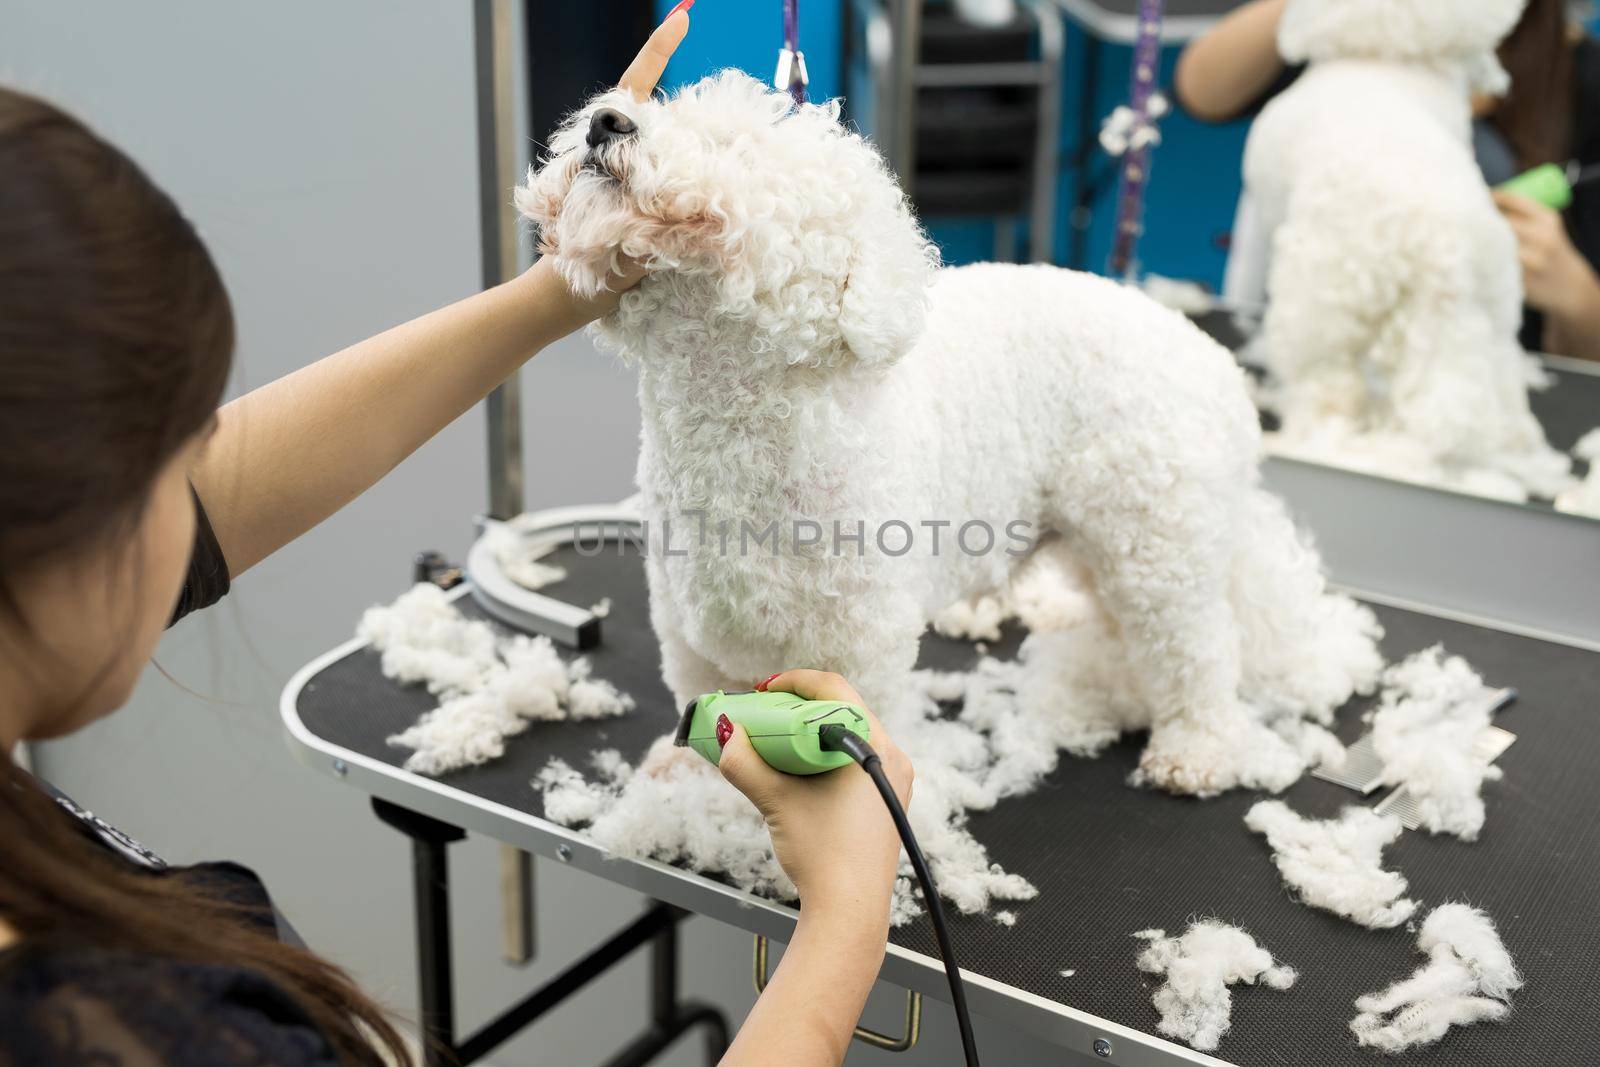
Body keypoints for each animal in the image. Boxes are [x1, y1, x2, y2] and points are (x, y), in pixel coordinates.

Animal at [518, 70, 1382, 796]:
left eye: (734, 145)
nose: (605, 120)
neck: (734, 425)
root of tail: (1220, 371)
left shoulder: (859, 645)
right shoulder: (690, 625)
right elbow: (696, 693)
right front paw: (685, 772)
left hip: (1160, 540)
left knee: (1198, 648)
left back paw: (1196, 750)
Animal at [1241, 0, 1568, 502]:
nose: (1499, 82)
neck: (1386, 60)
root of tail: (1435, 246)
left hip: (1319, 307)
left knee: (1329, 396)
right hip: (1489, 313)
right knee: (1501, 394)